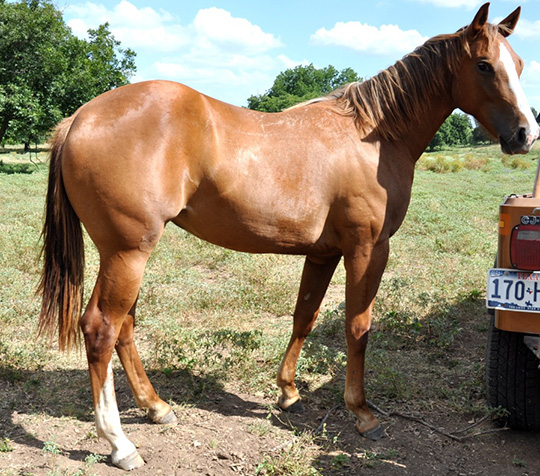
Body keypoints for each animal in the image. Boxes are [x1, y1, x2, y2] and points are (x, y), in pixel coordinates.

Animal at [38, 5, 536, 470]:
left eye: (518, 63)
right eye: (484, 65)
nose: (526, 134)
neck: (373, 137)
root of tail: (79, 118)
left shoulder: (323, 254)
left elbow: (305, 317)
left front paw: (288, 393)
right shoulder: (367, 250)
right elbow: (358, 327)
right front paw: (361, 412)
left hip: (124, 255)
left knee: (123, 327)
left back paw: (156, 407)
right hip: (127, 252)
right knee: (101, 328)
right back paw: (120, 444)